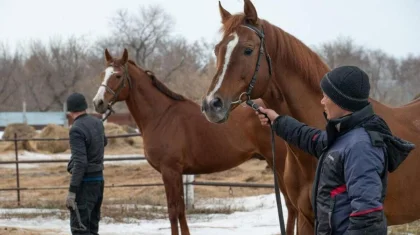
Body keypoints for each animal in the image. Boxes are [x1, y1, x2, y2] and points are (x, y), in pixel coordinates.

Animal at [92, 48, 296, 234]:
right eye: (102, 74)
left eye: (117, 76)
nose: (98, 103)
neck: (162, 116)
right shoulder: (178, 173)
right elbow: (181, 211)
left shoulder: (170, 171)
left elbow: (173, 211)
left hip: (279, 164)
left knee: (292, 205)